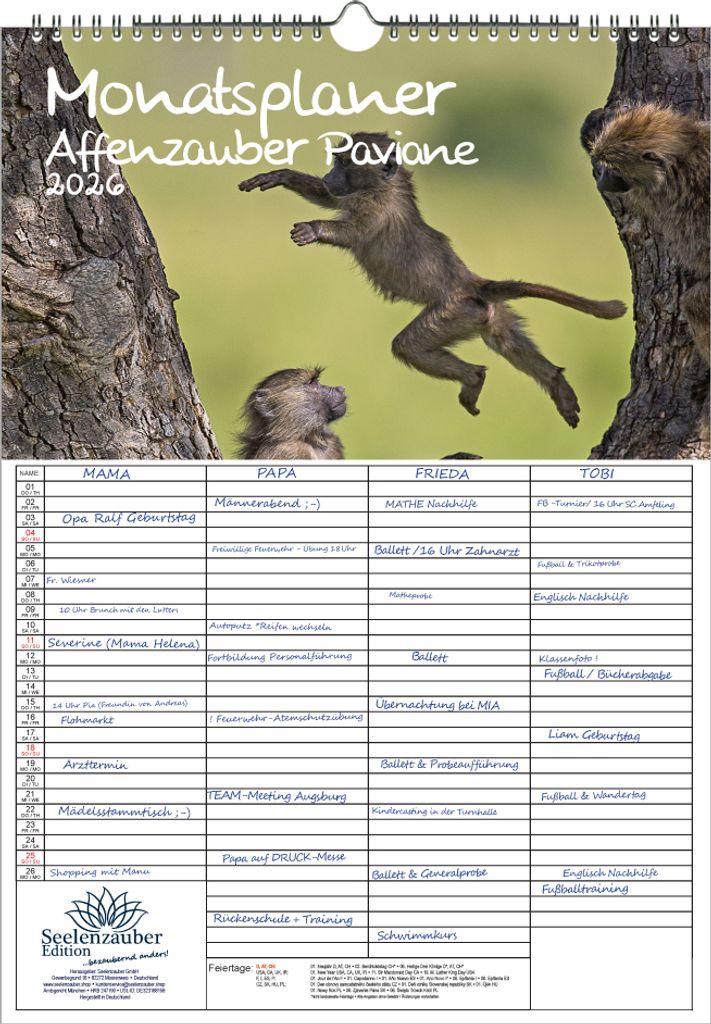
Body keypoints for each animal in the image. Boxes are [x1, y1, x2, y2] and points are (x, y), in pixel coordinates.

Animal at [239, 132, 627, 428]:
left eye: (345, 163)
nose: (329, 175)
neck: (388, 184)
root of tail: (473, 284)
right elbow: (327, 199)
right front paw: (282, 175)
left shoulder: (374, 207)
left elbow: (351, 232)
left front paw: (313, 229)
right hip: (491, 315)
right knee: (508, 342)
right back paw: (558, 387)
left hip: (453, 313)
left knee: (409, 346)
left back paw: (474, 379)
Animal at [582, 103, 710, 363]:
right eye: (604, 168)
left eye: (613, 170)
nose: (601, 183)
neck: (684, 150)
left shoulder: (658, 195)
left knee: (693, 303)